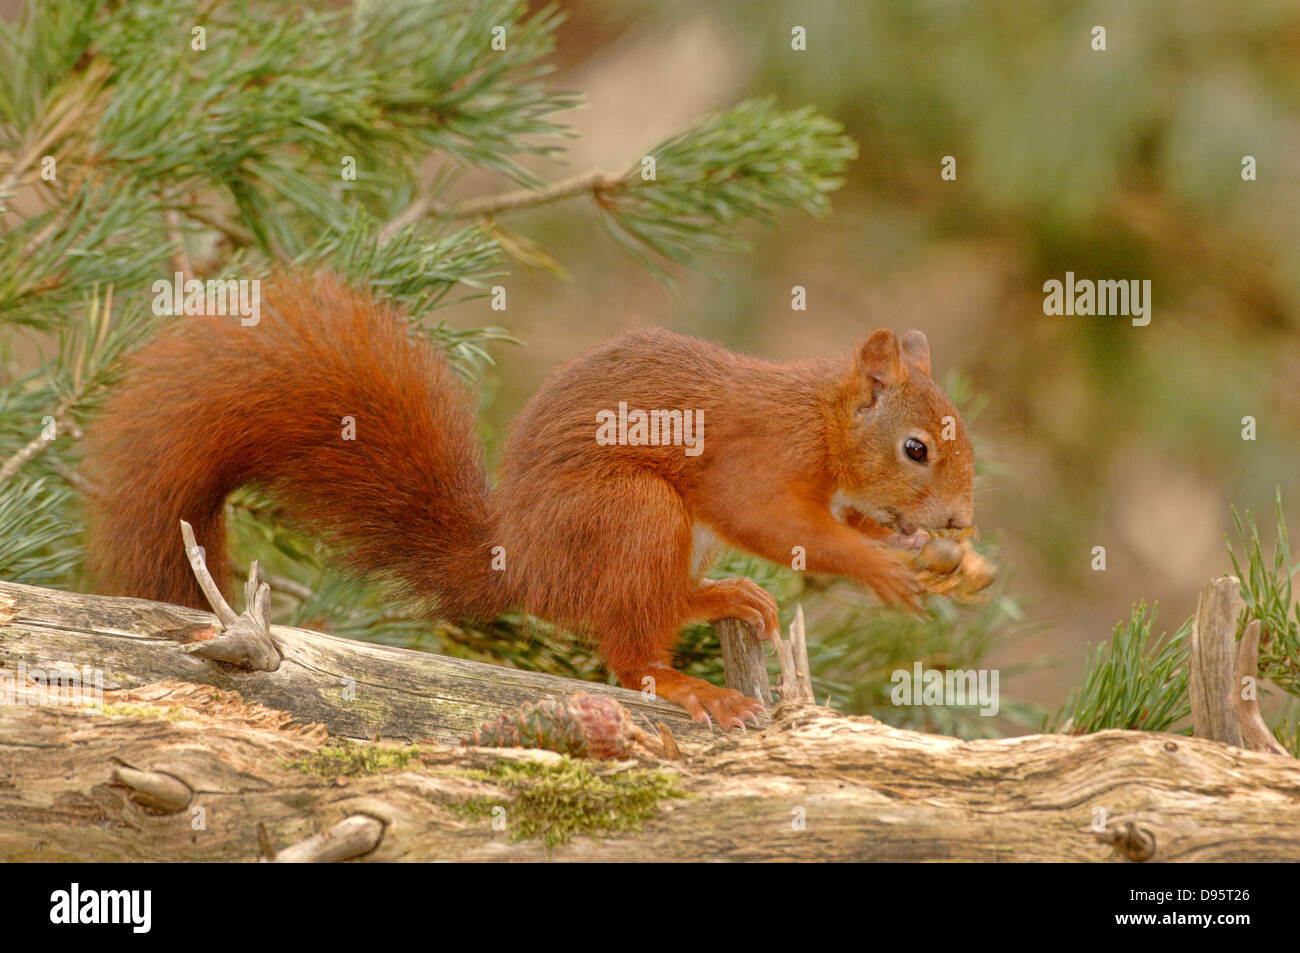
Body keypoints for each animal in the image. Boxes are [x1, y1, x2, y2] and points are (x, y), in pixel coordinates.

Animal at [83, 271, 977, 722]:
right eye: (916, 447)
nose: (961, 519)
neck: (817, 418)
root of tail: (521, 563)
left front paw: (907, 548)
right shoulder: (757, 460)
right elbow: (776, 521)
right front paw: (883, 567)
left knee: (655, 608)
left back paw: (719, 595)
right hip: (635, 515)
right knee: (630, 652)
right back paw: (690, 683)